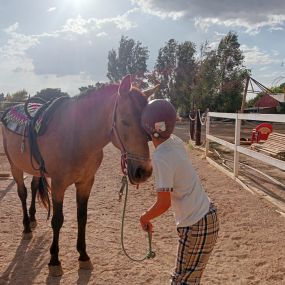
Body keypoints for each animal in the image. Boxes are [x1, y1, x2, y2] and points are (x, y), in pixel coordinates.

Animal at [1, 75, 156, 276]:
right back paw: (27, 227)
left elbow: (82, 218)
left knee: (34, 187)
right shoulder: (58, 185)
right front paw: (54, 261)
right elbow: (57, 220)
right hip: (15, 167)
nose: (144, 171)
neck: (76, 136)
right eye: (125, 121)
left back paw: (33, 219)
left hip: (35, 170)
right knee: (22, 193)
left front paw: (83, 256)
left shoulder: (85, 183)